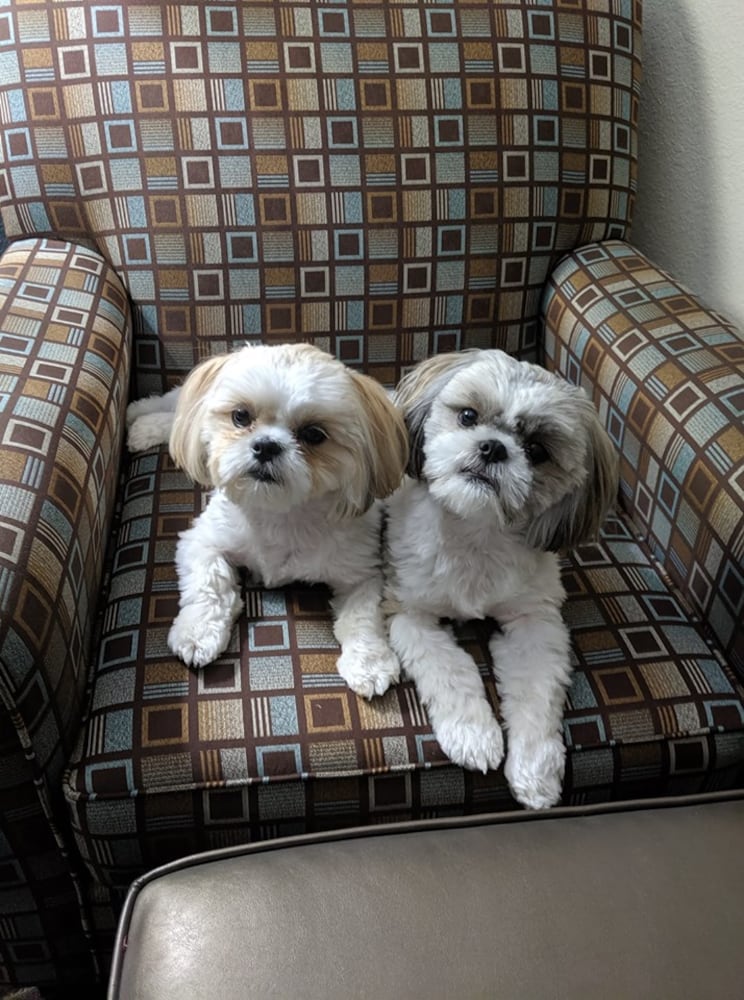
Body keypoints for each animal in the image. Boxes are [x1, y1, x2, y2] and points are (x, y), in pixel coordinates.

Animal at [126, 340, 406, 700]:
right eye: (240, 416)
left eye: (314, 434)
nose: (266, 445)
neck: (280, 513)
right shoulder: (203, 541)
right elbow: (210, 584)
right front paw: (198, 633)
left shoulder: (362, 571)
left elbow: (362, 617)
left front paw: (369, 664)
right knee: (174, 408)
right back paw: (140, 420)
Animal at [380, 348, 620, 808]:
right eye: (468, 416)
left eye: (537, 449)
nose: (493, 447)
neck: (476, 533)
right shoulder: (409, 612)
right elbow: (449, 669)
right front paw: (473, 736)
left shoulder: (535, 623)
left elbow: (536, 693)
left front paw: (535, 771)